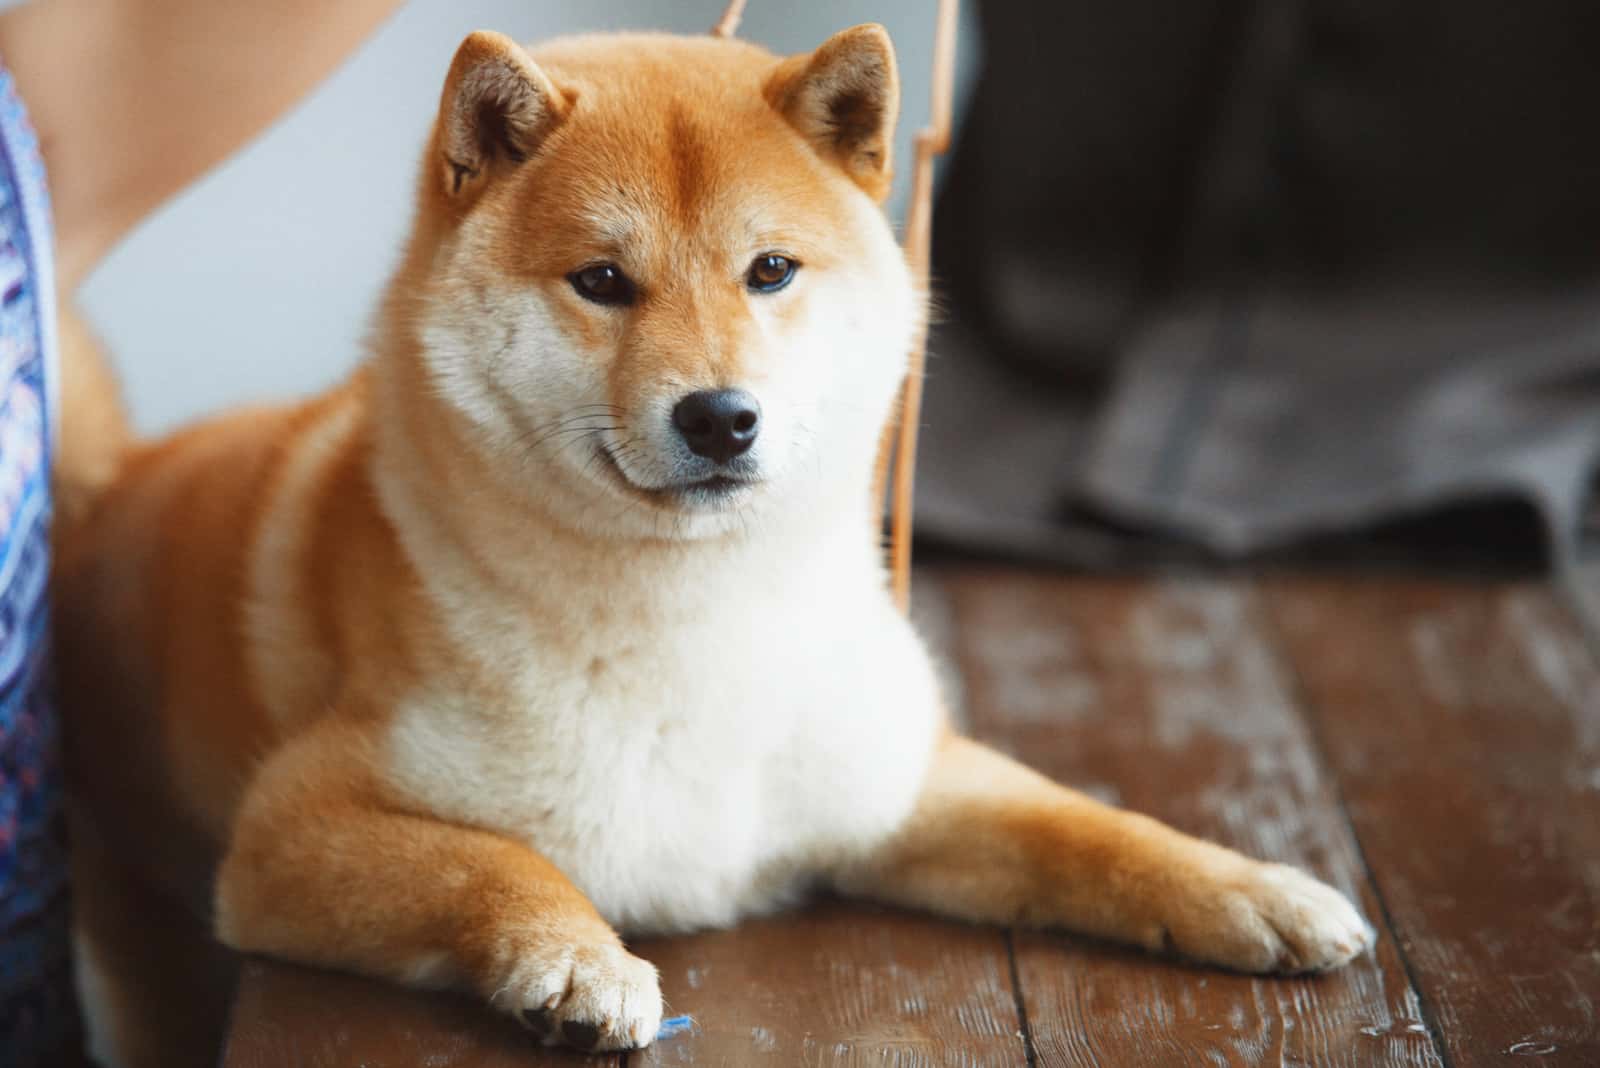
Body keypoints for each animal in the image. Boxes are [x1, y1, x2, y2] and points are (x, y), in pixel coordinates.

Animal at [53, 20, 1376, 1061]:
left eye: (770, 270)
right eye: (601, 281)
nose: (719, 416)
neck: (697, 626)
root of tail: (112, 486)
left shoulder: (894, 784)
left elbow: (1085, 828)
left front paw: (1247, 887)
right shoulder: (293, 828)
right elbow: (497, 864)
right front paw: (577, 961)